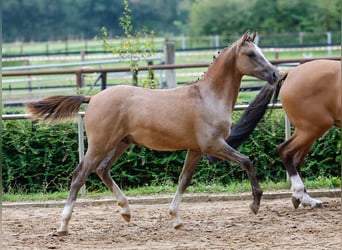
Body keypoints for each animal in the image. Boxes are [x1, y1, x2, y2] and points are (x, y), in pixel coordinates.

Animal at [25, 31, 280, 234]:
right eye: (251, 54)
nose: (276, 74)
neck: (207, 97)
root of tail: (93, 98)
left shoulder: (196, 149)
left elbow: (184, 180)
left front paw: (176, 219)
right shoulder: (213, 145)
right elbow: (246, 161)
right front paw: (255, 204)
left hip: (121, 143)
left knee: (102, 169)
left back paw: (126, 211)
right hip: (100, 144)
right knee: (80, 174)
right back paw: (63, 225)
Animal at [210, 59, 340, 209]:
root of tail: (290, 73)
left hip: (308, 130)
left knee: (296, 159)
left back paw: (306, 199)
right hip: (313, 128)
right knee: (285, 150)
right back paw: (299, 194)